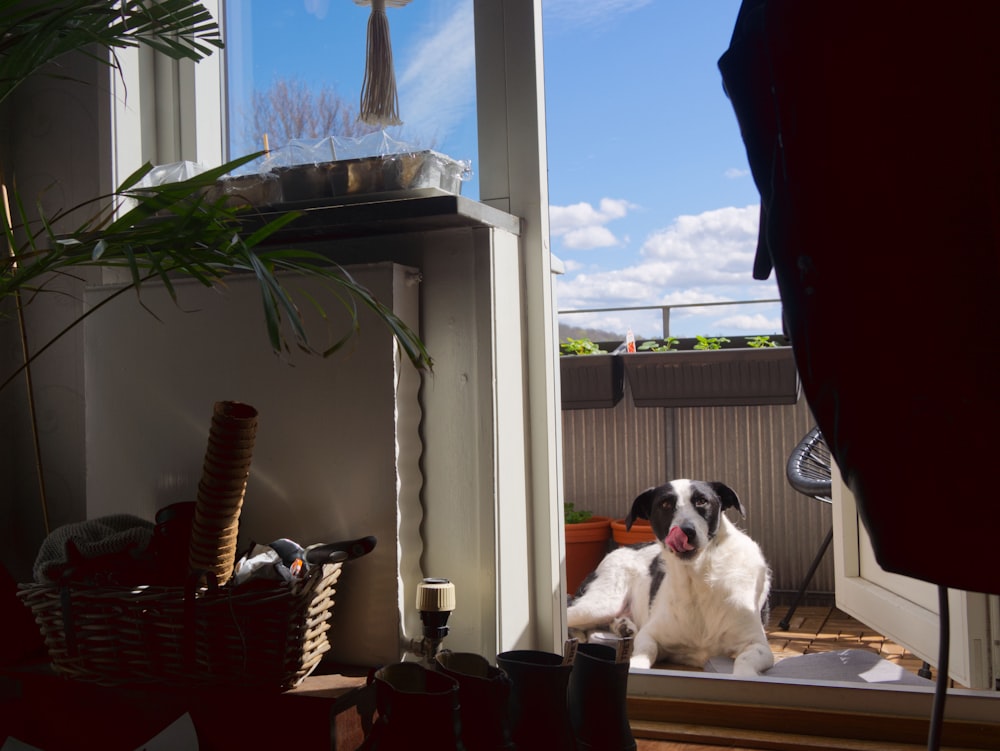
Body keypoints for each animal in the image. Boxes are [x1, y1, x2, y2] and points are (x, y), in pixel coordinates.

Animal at [564, 484, 772, 680]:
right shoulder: (649, 634)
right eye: (665, 504)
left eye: (702, 501)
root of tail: (615, 552)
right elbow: (645, 652)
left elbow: (744, 661)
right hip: (600, 605)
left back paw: (623, 627)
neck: (697, 577)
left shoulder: (759, 645)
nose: (686, 531)